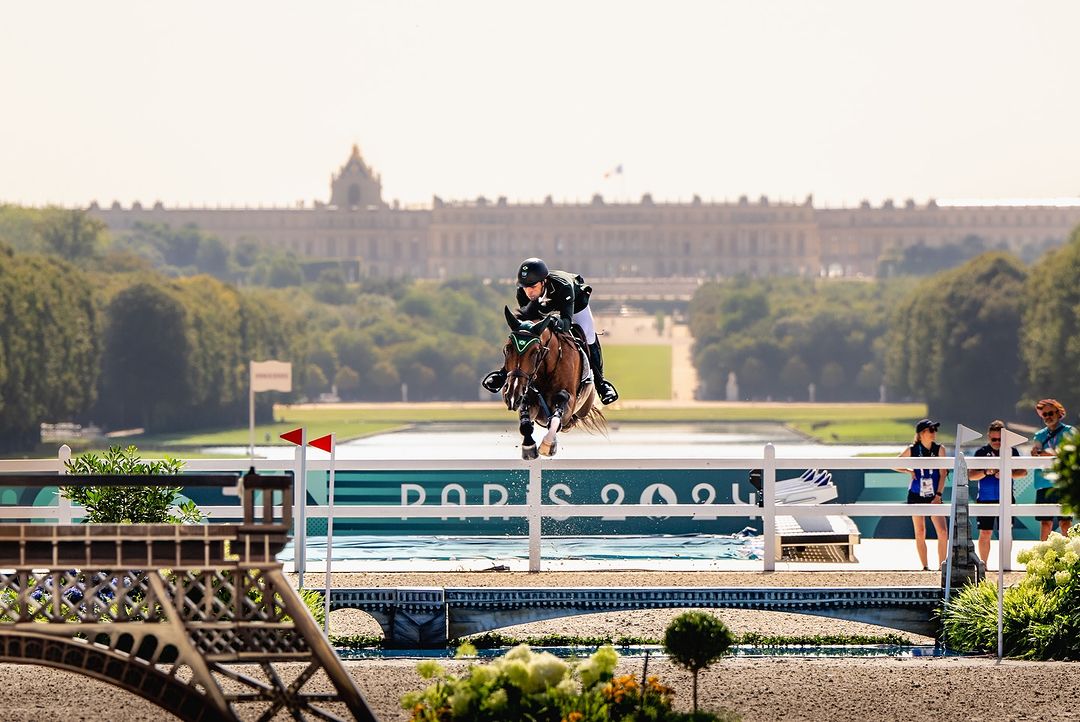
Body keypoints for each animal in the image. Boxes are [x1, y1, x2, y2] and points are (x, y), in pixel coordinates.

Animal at [498, 306, 609, 459]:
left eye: (535, 352)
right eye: (508, 348)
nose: (513, 394)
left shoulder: (569, 402)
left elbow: (558, 410)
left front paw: (547, 445)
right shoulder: (528, 398)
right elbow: (526, 422)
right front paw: (529, 447)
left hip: (583, 407)